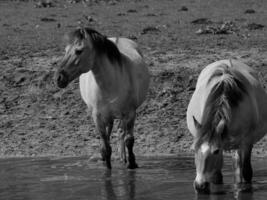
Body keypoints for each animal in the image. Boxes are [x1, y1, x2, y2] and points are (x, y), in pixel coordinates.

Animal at [55, 27, 150, 169]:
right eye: (66, 50)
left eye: (79, 51)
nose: (58, 78)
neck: (111, 83)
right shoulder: (98, 117)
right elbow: (106, 147)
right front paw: (107, 166)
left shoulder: (130, 113)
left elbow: (129, 140)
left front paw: (132, 163)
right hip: (107, 116)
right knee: (111, 133)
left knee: (121, 133)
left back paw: (124, 159)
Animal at [187, 59, 267, 194]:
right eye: (194, 150)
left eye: (215, 151)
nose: (200, 186)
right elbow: (217, 177)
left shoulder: (246, 142)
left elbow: (246, 172)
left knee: (239, 168)